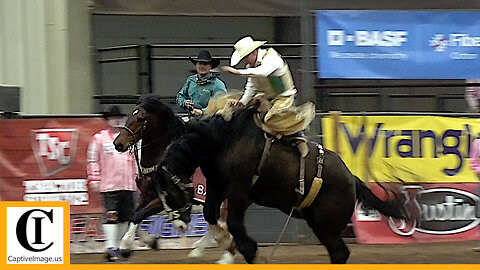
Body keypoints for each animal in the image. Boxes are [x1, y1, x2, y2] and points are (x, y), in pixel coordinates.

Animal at [152, 105, 406, 264]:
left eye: (169, 194)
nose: (179, 226)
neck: (222, 140)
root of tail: (351, 178)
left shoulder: (240, 191)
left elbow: (233, 222)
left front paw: (250, 252)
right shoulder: (217, 185)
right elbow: (210, 214)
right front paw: (224, 243)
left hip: (326, 226)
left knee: (340, 253)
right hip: (320, 224)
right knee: (339, 254)